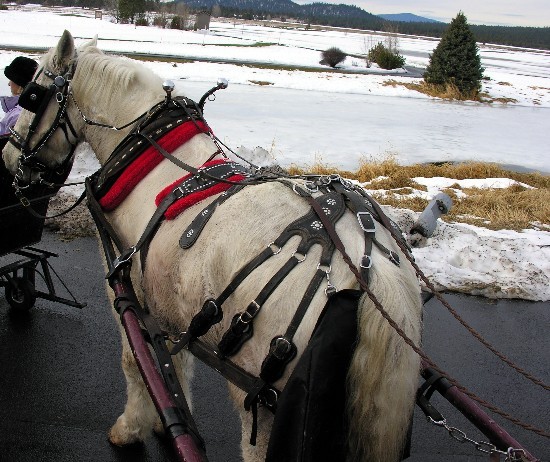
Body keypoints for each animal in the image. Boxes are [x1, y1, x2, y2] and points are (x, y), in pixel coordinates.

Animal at [2, 30, 422, 460]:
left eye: (32, 95)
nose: (8, 155)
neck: (148, 160)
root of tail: (374, 275)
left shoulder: (128, 291)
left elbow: (135, 363)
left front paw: (130, 428)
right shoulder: (171, 304)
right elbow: (175, 366)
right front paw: (164, 421)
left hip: (261, 404)